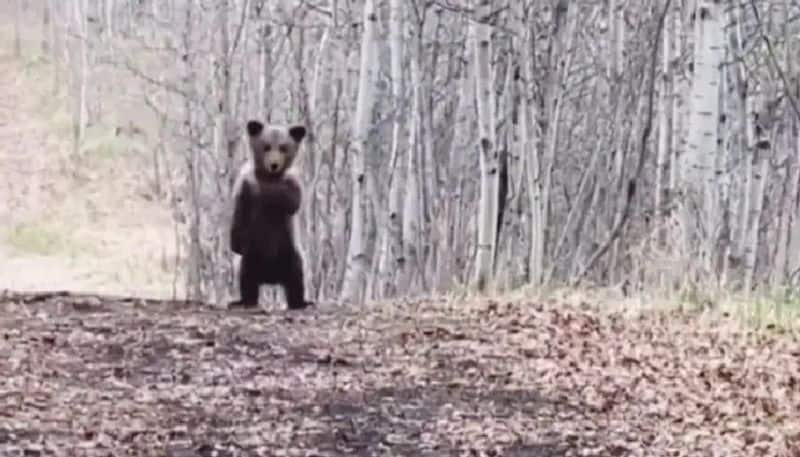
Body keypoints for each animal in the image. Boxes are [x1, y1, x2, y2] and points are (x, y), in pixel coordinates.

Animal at [227, 119, 314, 310]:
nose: (274, 164)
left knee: (296, 277)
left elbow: (292, 202)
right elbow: (239, 215)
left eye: (283, 147)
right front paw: (234, 245)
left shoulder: (292, 184)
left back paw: (301, 302)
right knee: (246, 278)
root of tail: (271, 278)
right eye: (266, 146)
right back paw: (243, 301)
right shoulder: (244, 189)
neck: (268, 178)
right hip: (253, 255)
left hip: (289, 251)